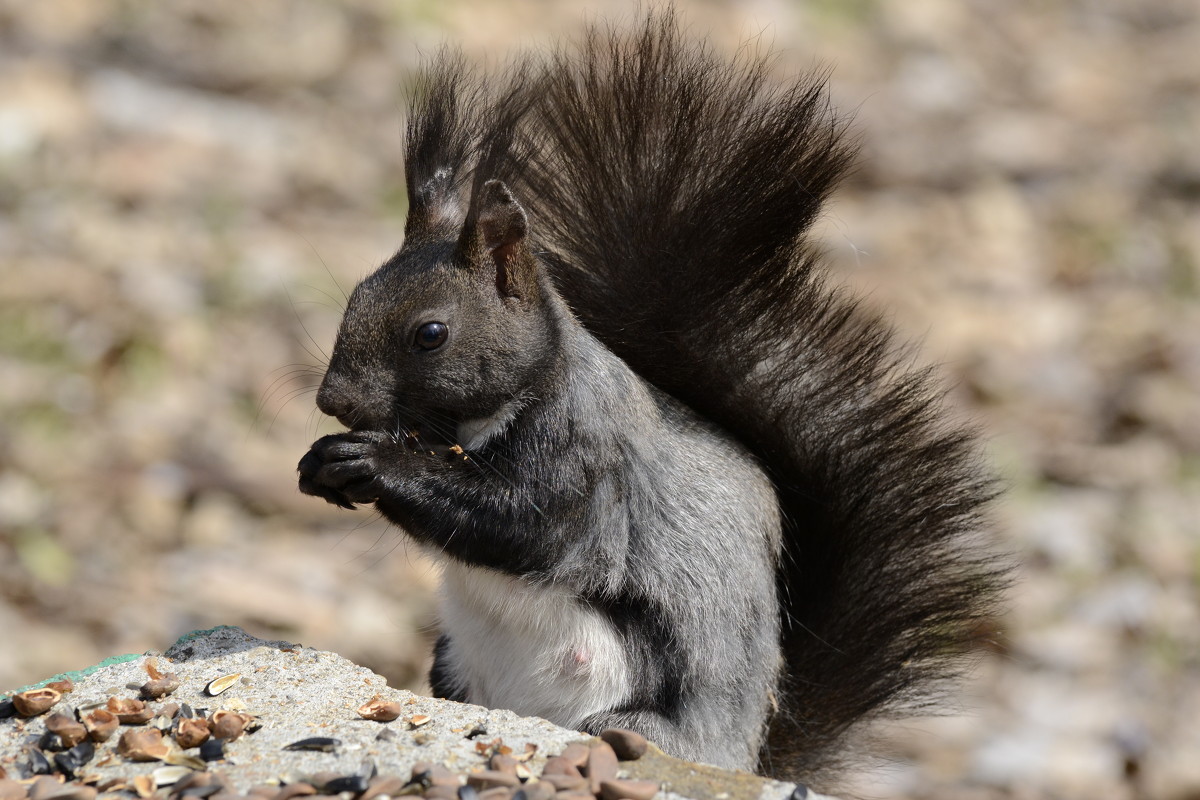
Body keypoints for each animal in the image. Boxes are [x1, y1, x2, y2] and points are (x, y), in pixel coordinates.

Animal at [295, 9, 1008, 791]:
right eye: (355, 296)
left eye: (431, 334)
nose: (334, 401)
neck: (475, 425)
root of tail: (745, 756)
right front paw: (320, 464)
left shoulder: (586, 467)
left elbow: (519, 525)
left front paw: (370, 463)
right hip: (456, 666)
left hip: (635, 709)